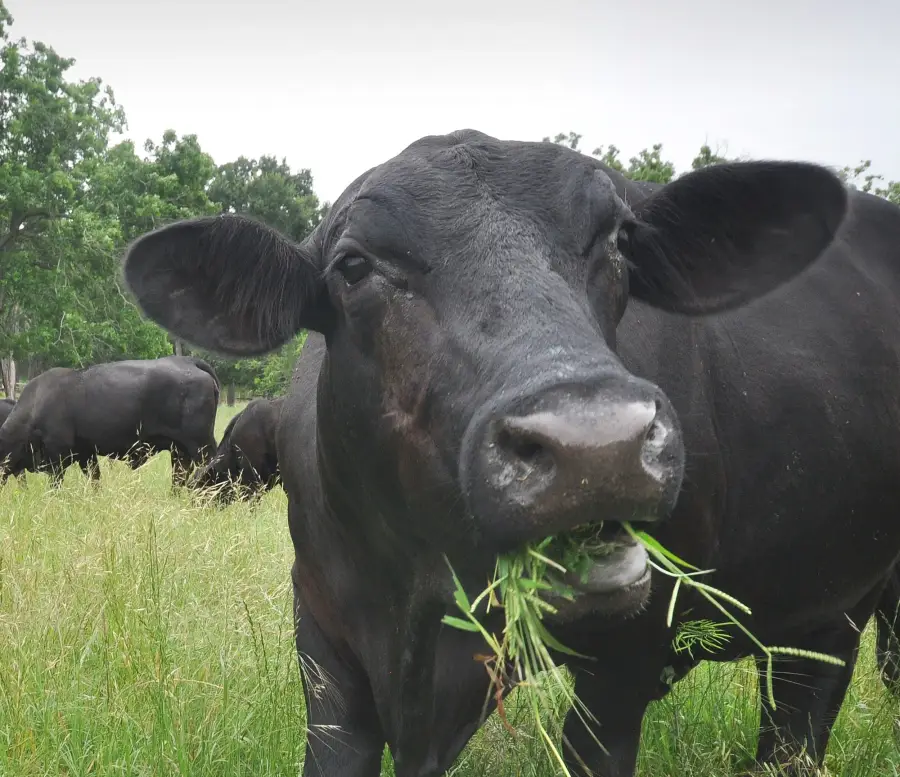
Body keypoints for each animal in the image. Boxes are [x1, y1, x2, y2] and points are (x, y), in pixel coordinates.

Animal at [0, 356, 220, 488]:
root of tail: (189, 361)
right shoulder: (86, 453)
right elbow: (95, 479)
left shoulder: (57, 456)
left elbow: (56, 483)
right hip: (180, 451)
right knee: (179, 477)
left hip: (200, 446)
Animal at [119, 128, 898, 777]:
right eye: (353, 266)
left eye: (619, 241)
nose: (597, 445)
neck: (416, 595)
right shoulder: (325, 639)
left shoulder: (623, 664)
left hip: (842, 606)